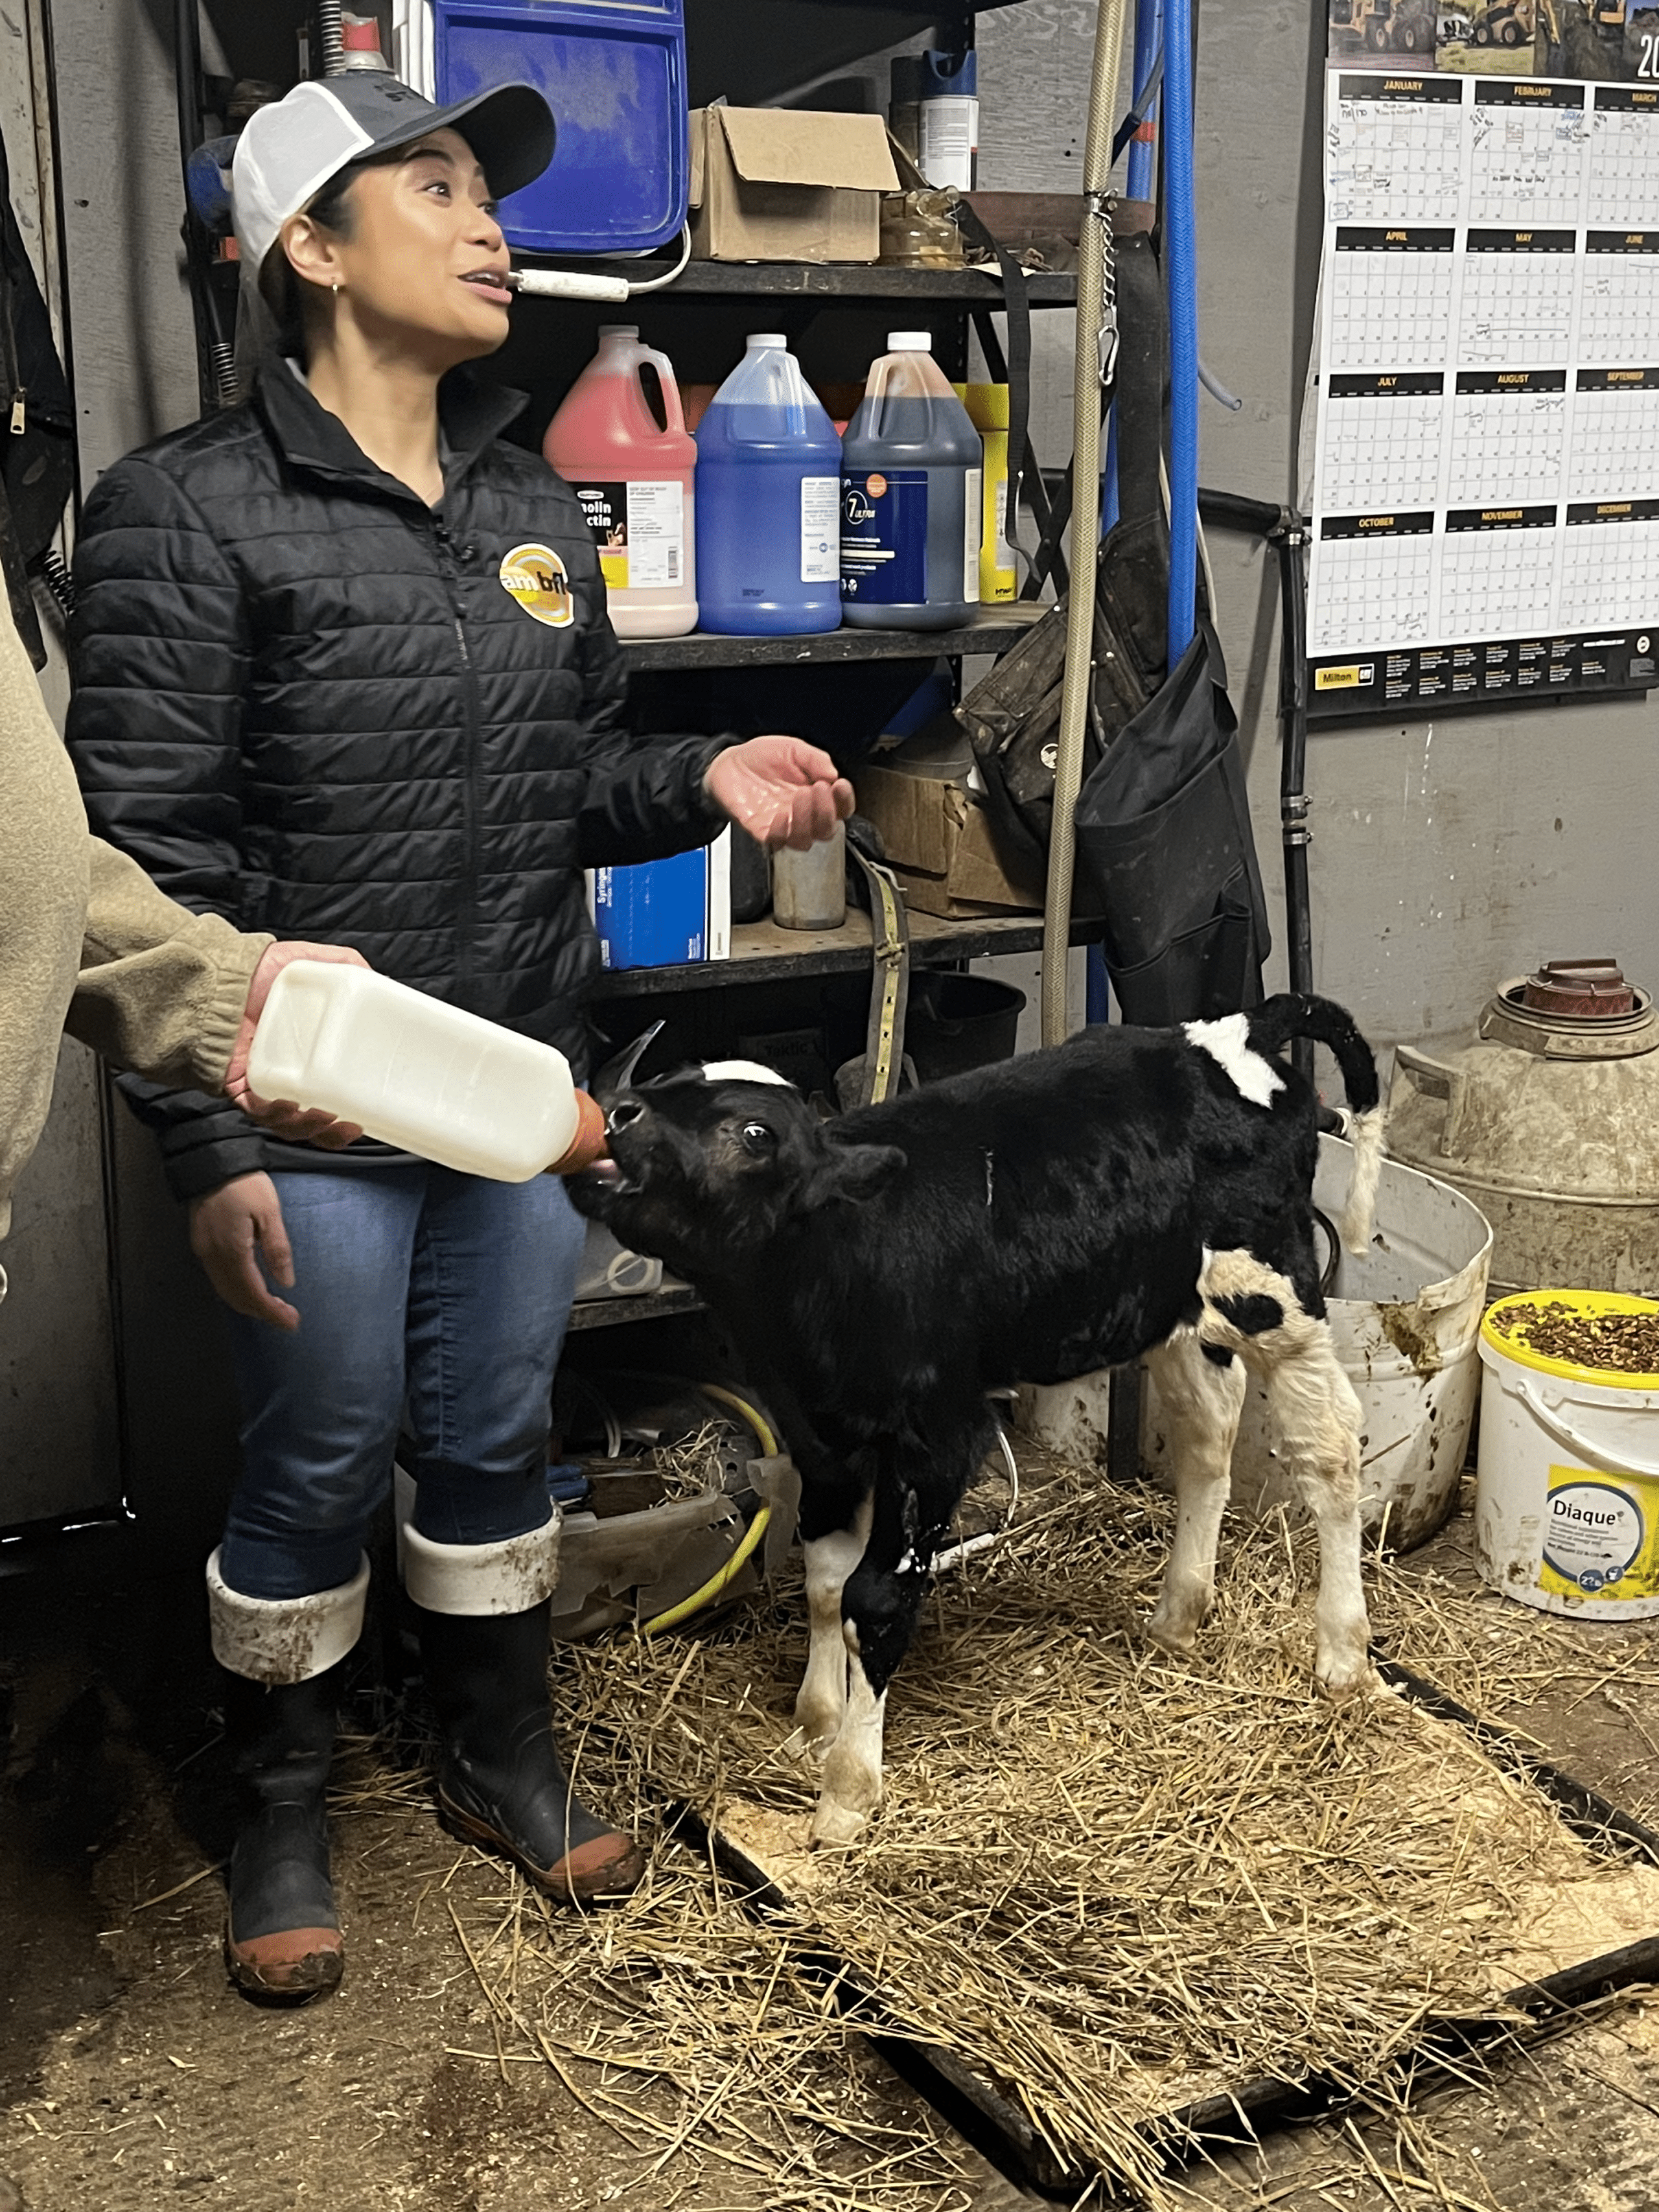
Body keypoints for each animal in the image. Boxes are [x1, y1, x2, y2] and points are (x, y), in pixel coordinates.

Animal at [570, 1004, 1389, 1849]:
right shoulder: (818, 1435)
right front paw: (815, 1721)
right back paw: (1176, 1615)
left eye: (754, 1132)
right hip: (1173, 1310)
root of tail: (1235, 1026)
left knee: (1329, 1448)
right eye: (664, 1079)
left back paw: (1341, 1652)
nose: (617, 1111)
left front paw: (847, 1791)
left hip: (1272, 1291)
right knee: (1206, 1433)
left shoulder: (933, 1440)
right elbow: (825, 1584)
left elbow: (874, 1600)